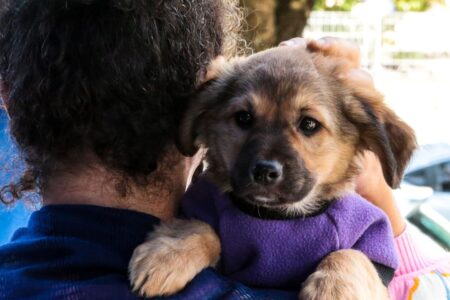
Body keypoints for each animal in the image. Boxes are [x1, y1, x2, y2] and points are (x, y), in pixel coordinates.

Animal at [128, 45, 416, 298]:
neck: (276, 217)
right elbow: (200, 228)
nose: (265, 172)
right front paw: (167, 257)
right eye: (243, 118)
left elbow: (352, 255)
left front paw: (334, 290)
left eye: (309, 124)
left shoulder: (373, 244)